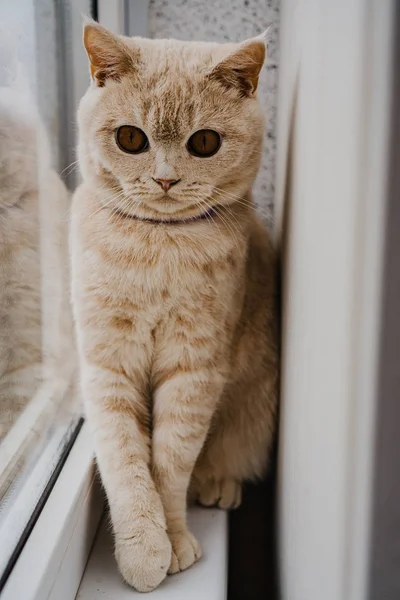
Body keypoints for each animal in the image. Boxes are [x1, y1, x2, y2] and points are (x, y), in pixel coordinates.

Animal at [71, 21, 278, 592]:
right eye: (131, 138)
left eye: (204, 142)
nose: (165, 179)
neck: (159, 246)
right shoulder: (108, 366)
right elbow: (125, 461)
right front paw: (144, 551)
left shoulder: (194, 369)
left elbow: (170, 460)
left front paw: (173, 538)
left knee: (225, 454)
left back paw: (218, 483)